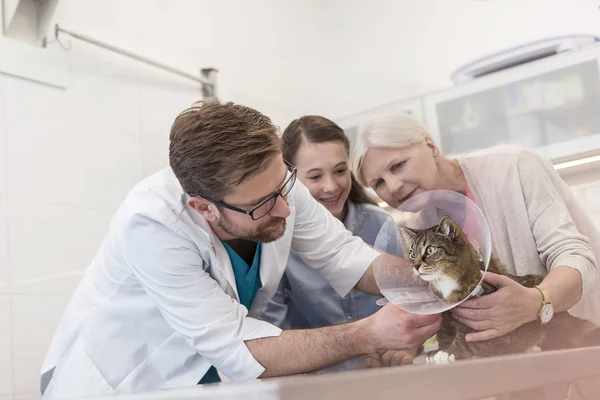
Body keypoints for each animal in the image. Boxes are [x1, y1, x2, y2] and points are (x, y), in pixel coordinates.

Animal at [398, 216, 600, 362]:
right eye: (412, 253)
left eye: (430, 250)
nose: (415, 265)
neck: (447, 280)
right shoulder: (447, 316)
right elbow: (445, 333)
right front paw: (440, 350)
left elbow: (466, 336)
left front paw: (449, 353)